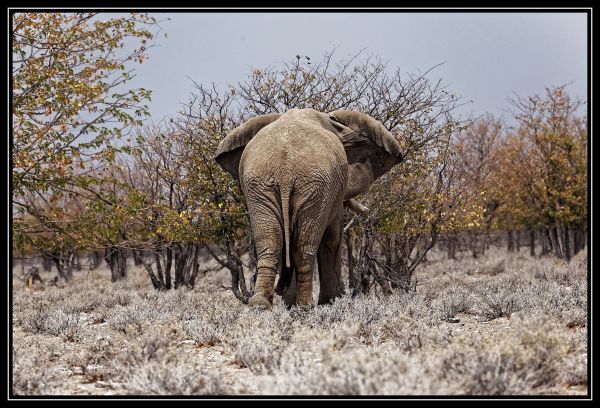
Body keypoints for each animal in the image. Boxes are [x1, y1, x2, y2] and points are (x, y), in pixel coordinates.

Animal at [216, 107, 404, 308]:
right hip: (315, 186)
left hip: (262, 183)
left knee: (271, 242)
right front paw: (330, 302)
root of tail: (285, 168)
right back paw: (305, 307)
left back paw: (261, 304)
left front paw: (290, 303)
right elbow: (333, 239)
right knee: (304, 246)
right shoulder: (333, 193)